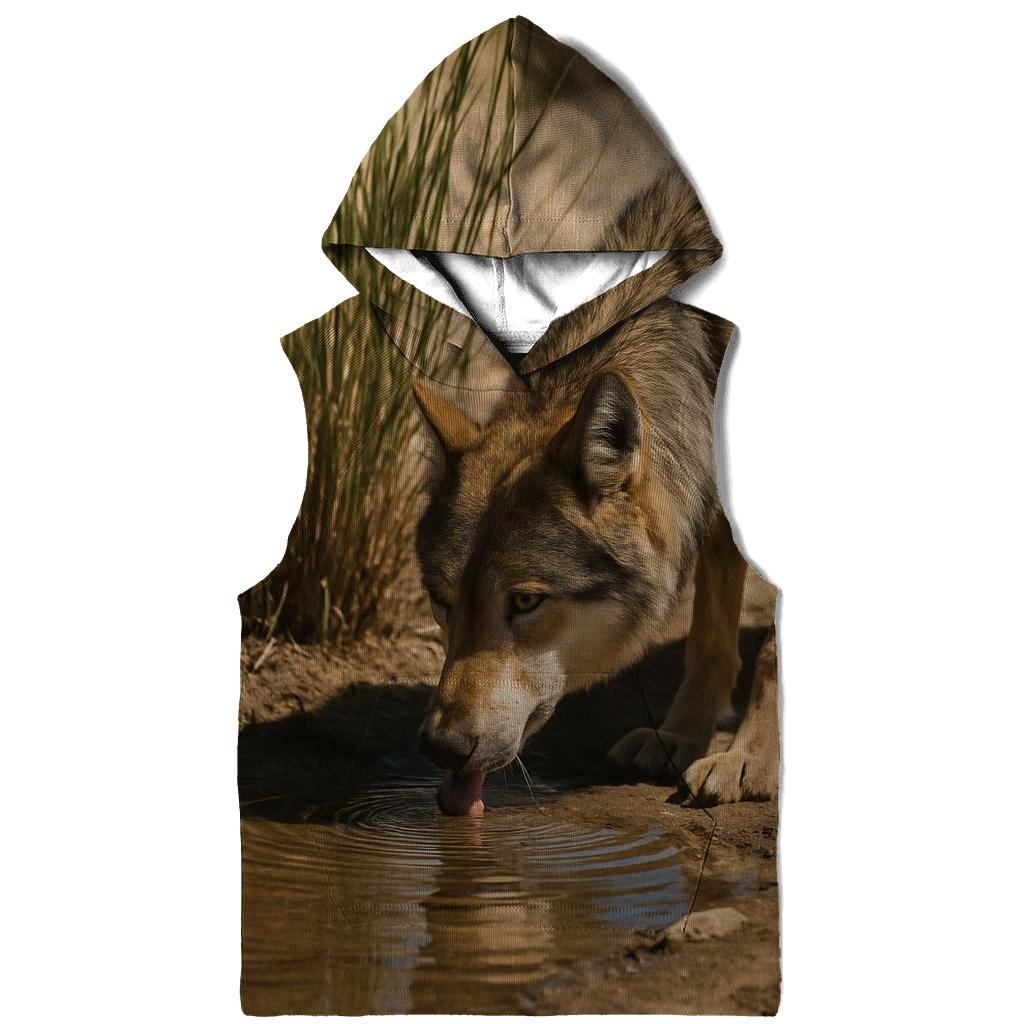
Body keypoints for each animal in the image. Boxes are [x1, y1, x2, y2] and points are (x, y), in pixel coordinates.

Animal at [411, 298, 778, 812]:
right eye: (442, 602)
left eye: (525, 601)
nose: (441, 747)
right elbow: (708, 641)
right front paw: (679, 737)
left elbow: (770, 654)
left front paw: (750, 759)